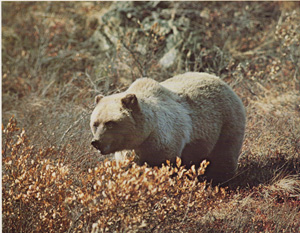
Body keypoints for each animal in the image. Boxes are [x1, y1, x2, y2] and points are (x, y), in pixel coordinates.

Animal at [90, 72, 245, 183]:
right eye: (95, 123)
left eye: (110, 123)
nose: (96, 142)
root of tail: (221, 81)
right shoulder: (128, 153)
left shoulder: (163, 142)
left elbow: (163, 165)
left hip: (226, 122)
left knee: (224, 156)